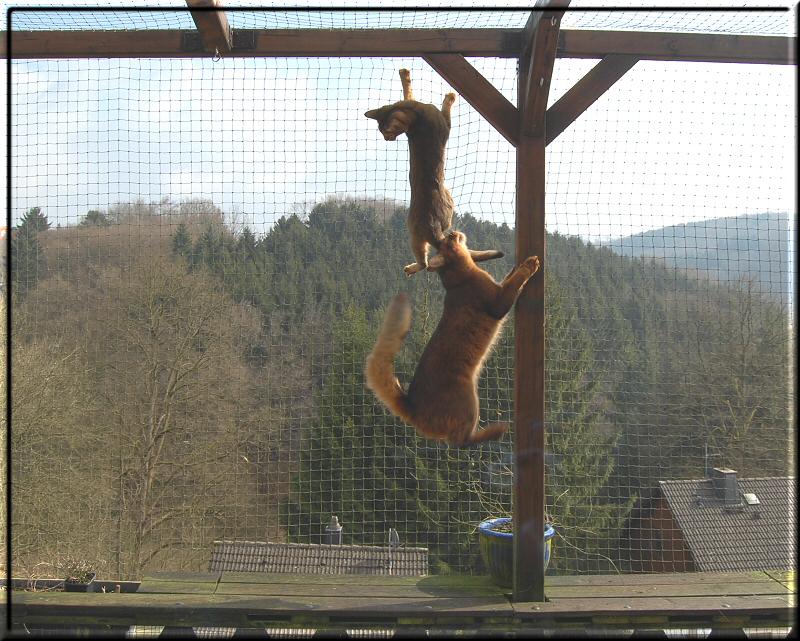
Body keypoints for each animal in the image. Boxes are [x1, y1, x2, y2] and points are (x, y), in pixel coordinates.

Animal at [366, 70, 504, 276]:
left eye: (385, 132)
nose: (387, 139)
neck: (416, 114)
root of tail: (434, 227)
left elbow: (408, 92)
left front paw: (404, 74)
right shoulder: (446, 122)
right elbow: (443, 107)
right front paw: (450, 97)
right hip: (427, 224)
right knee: (425, 264)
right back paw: (414, 267)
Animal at [366, 230, 540, 444]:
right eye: (448, 241)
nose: (450, 232)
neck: (460, 279)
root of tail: (412, 407)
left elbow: (509, 277)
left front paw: (516, 265)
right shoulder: (498, 302)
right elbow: (513, 282)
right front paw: (529, 264)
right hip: (468, 399)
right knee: (460, 441)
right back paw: (496, 431)